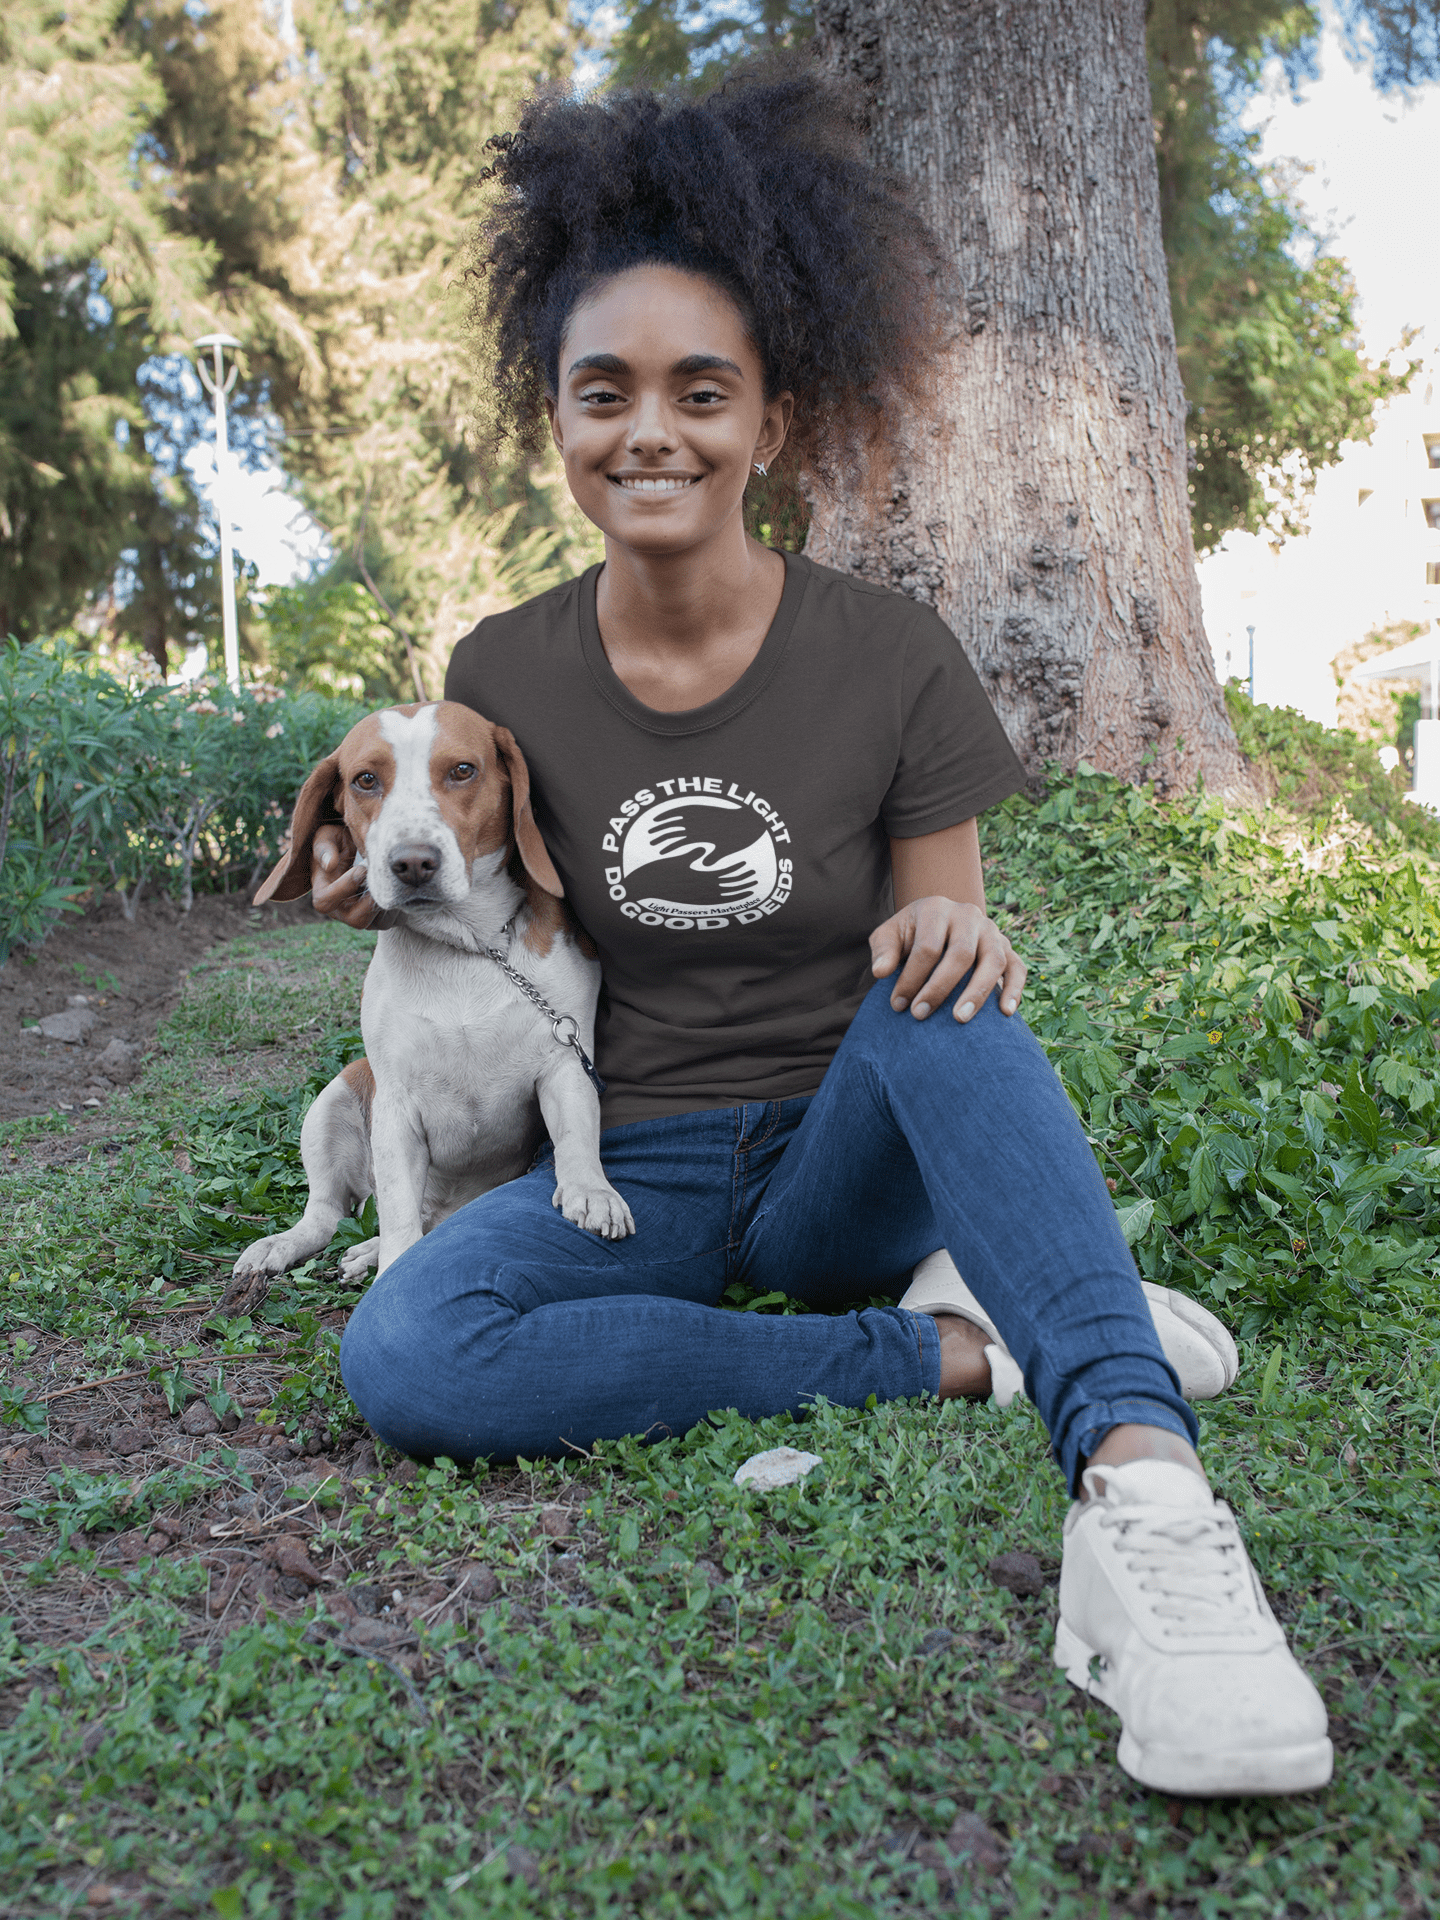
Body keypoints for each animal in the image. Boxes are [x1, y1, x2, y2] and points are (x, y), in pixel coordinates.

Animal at [224, 706, 629, 1320]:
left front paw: (591, 1191)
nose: (413, 863)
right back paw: (293, 1246)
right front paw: (391, 1267)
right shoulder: (395, 1106)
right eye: (365, 779)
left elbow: (578, 1137)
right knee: (331, 1216)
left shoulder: (565, 1063)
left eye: (463, 770)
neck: (470, 947)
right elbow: (396, 1214)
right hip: (335, 1098)